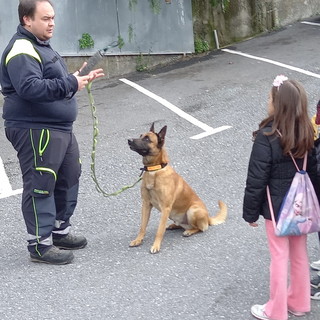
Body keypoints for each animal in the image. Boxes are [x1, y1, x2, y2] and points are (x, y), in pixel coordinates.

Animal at [127, 124, 228, 254]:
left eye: (147, 139)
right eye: (140, 135)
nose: (129, 140)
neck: (155, 169)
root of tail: (208, 218)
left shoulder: (165, 208)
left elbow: (159, 231)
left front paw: (156, 246)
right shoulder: (146, 204)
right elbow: (142, 226)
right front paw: (138, 240)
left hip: (192, 210)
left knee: (200, 228)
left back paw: (189, 231)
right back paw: (174, 226)